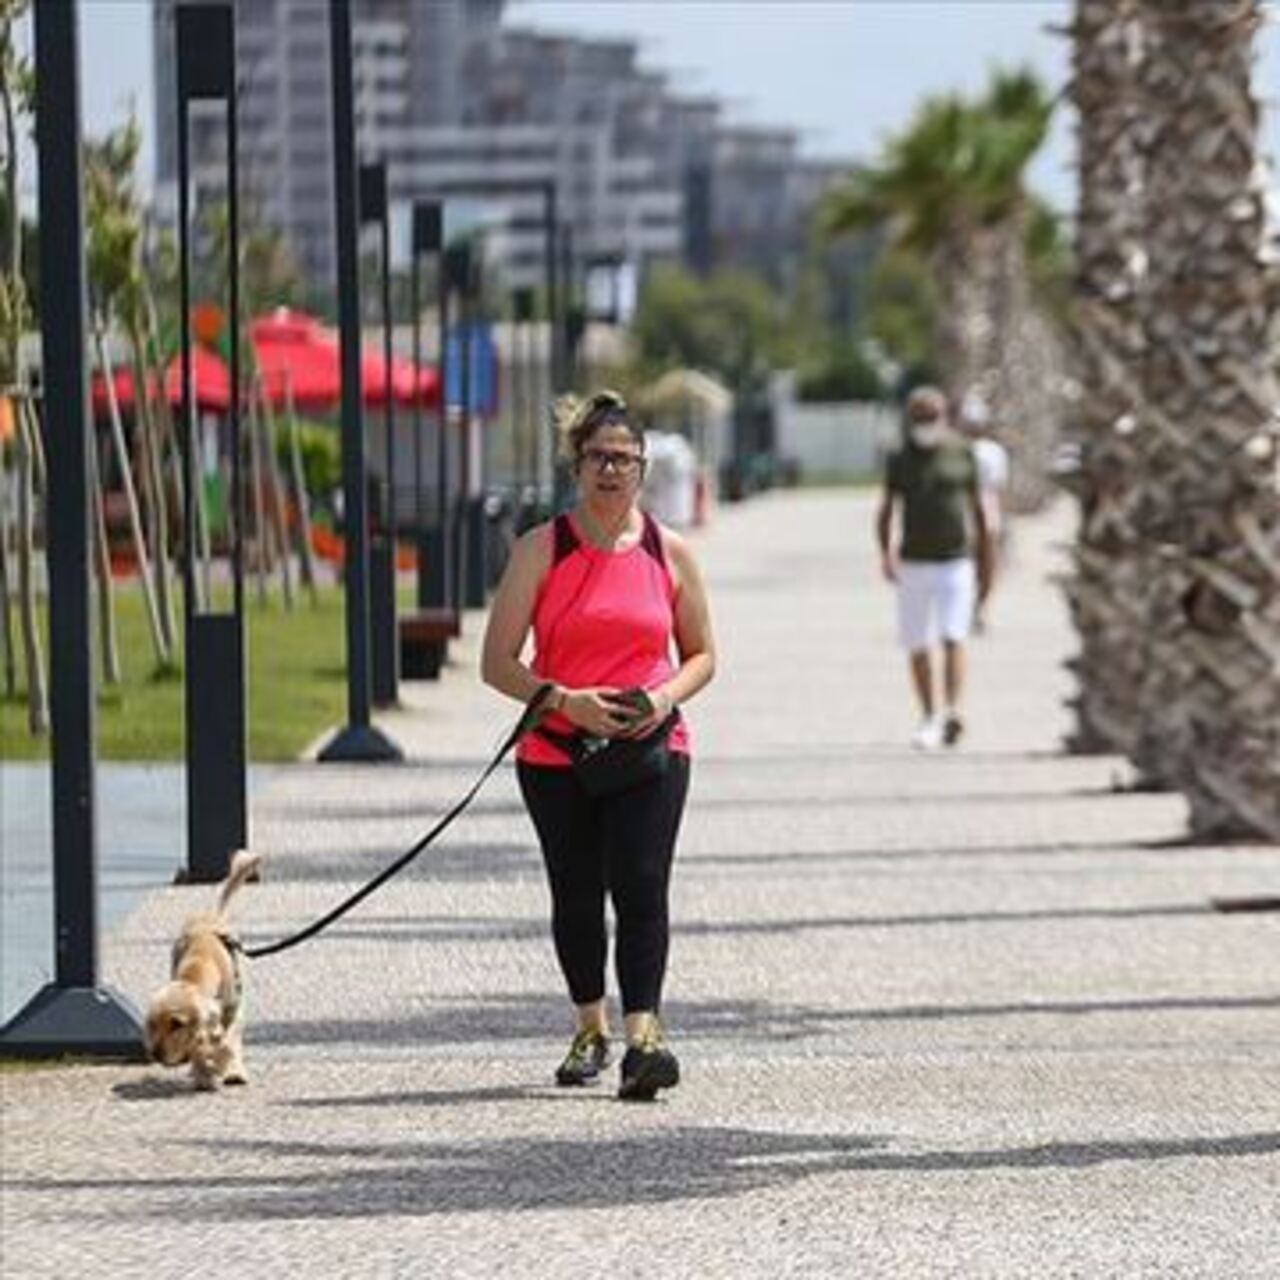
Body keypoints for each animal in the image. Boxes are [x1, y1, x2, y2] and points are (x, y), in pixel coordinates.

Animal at [145, 849, 262, 1090]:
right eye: (152, 1024)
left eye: (177, 1024)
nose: (156, 1054)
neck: (199, 964)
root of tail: (212, 915)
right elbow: (200, 1047)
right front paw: (203, 1074)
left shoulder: (234, 1011)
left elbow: (228, 1043)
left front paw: (225, 1066)